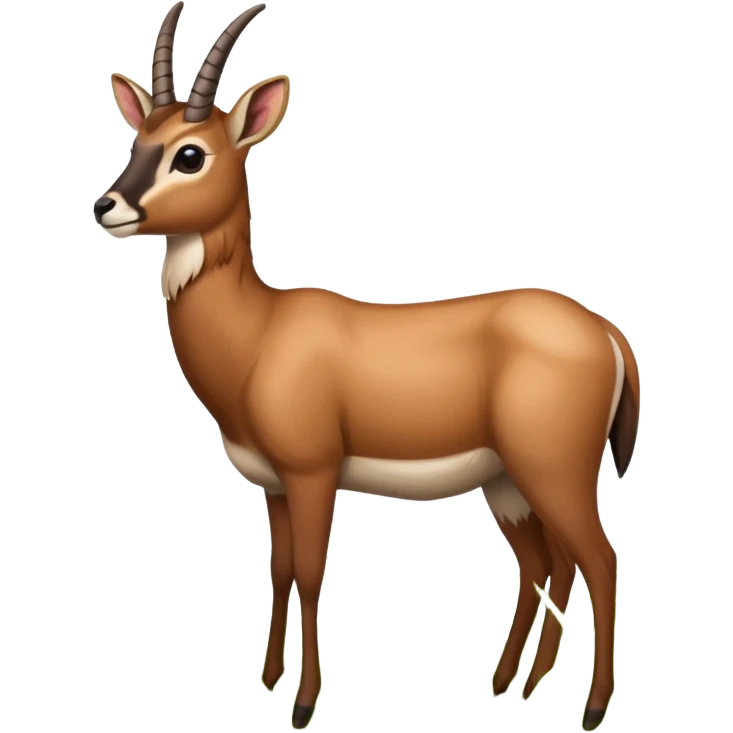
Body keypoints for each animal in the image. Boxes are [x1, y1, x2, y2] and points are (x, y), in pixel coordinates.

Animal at [93, 3, 641, 730]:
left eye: (190, 152)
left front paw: (303, 703)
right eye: (138, 141)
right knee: (546, 564)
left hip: (555, 470)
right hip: (506, 483)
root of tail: (606, 331)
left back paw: (590, 707)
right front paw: (268, 680)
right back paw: (512, 685)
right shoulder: (273, 484)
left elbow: (309, 573)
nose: (107, 206)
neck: (260, 333)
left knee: (599, 560)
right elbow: (278, 569)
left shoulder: (313, 472)